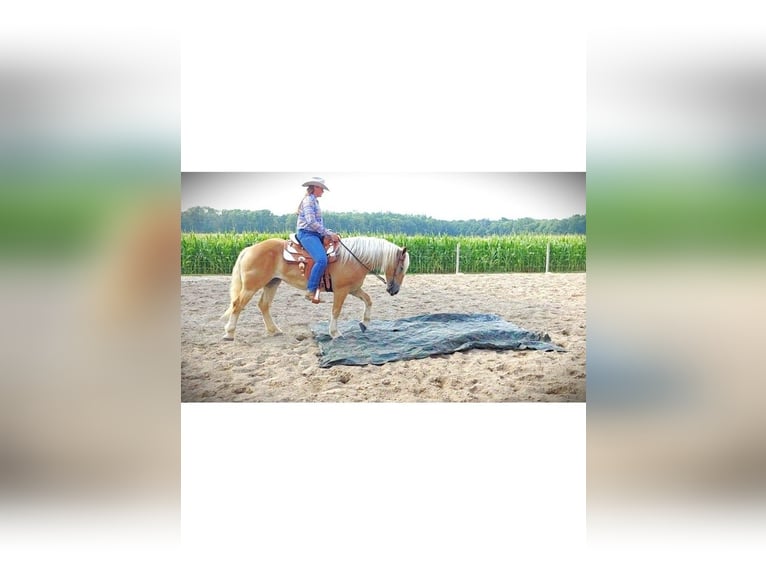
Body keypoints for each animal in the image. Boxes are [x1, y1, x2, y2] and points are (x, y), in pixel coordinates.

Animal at [221, 236, 409, 340]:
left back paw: (274, 330)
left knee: (263, 305)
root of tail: (249, 249)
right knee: (237, 305)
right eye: (401, 267)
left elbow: (369, 301)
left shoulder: (353, 289)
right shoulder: (341, 291)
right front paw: (335, 333)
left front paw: (364, 323)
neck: (354, 258)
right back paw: (229, 333)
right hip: (251, 287)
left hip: (272, 283)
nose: (394, 290)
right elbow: (336, 311)